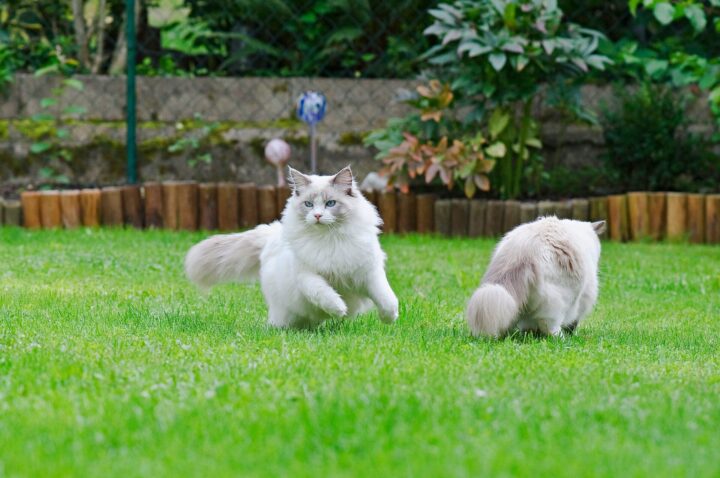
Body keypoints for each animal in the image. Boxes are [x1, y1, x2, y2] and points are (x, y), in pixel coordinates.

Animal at [184, 166, 399, 329]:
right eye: (309, 204)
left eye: (330, 203)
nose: (317, 216)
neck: (329, 239)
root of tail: (271, 234)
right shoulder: (306, 276)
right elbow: (325, 294)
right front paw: (340, 309)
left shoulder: (369, 272)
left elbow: (387, 298)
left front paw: (390, 319)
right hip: (284, 312)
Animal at [466, 216, 605, 337]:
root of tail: (522, 253)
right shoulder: (584, 297)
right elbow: (573, 322)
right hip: (557, 304)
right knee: (549, 326)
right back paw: (561, 338)